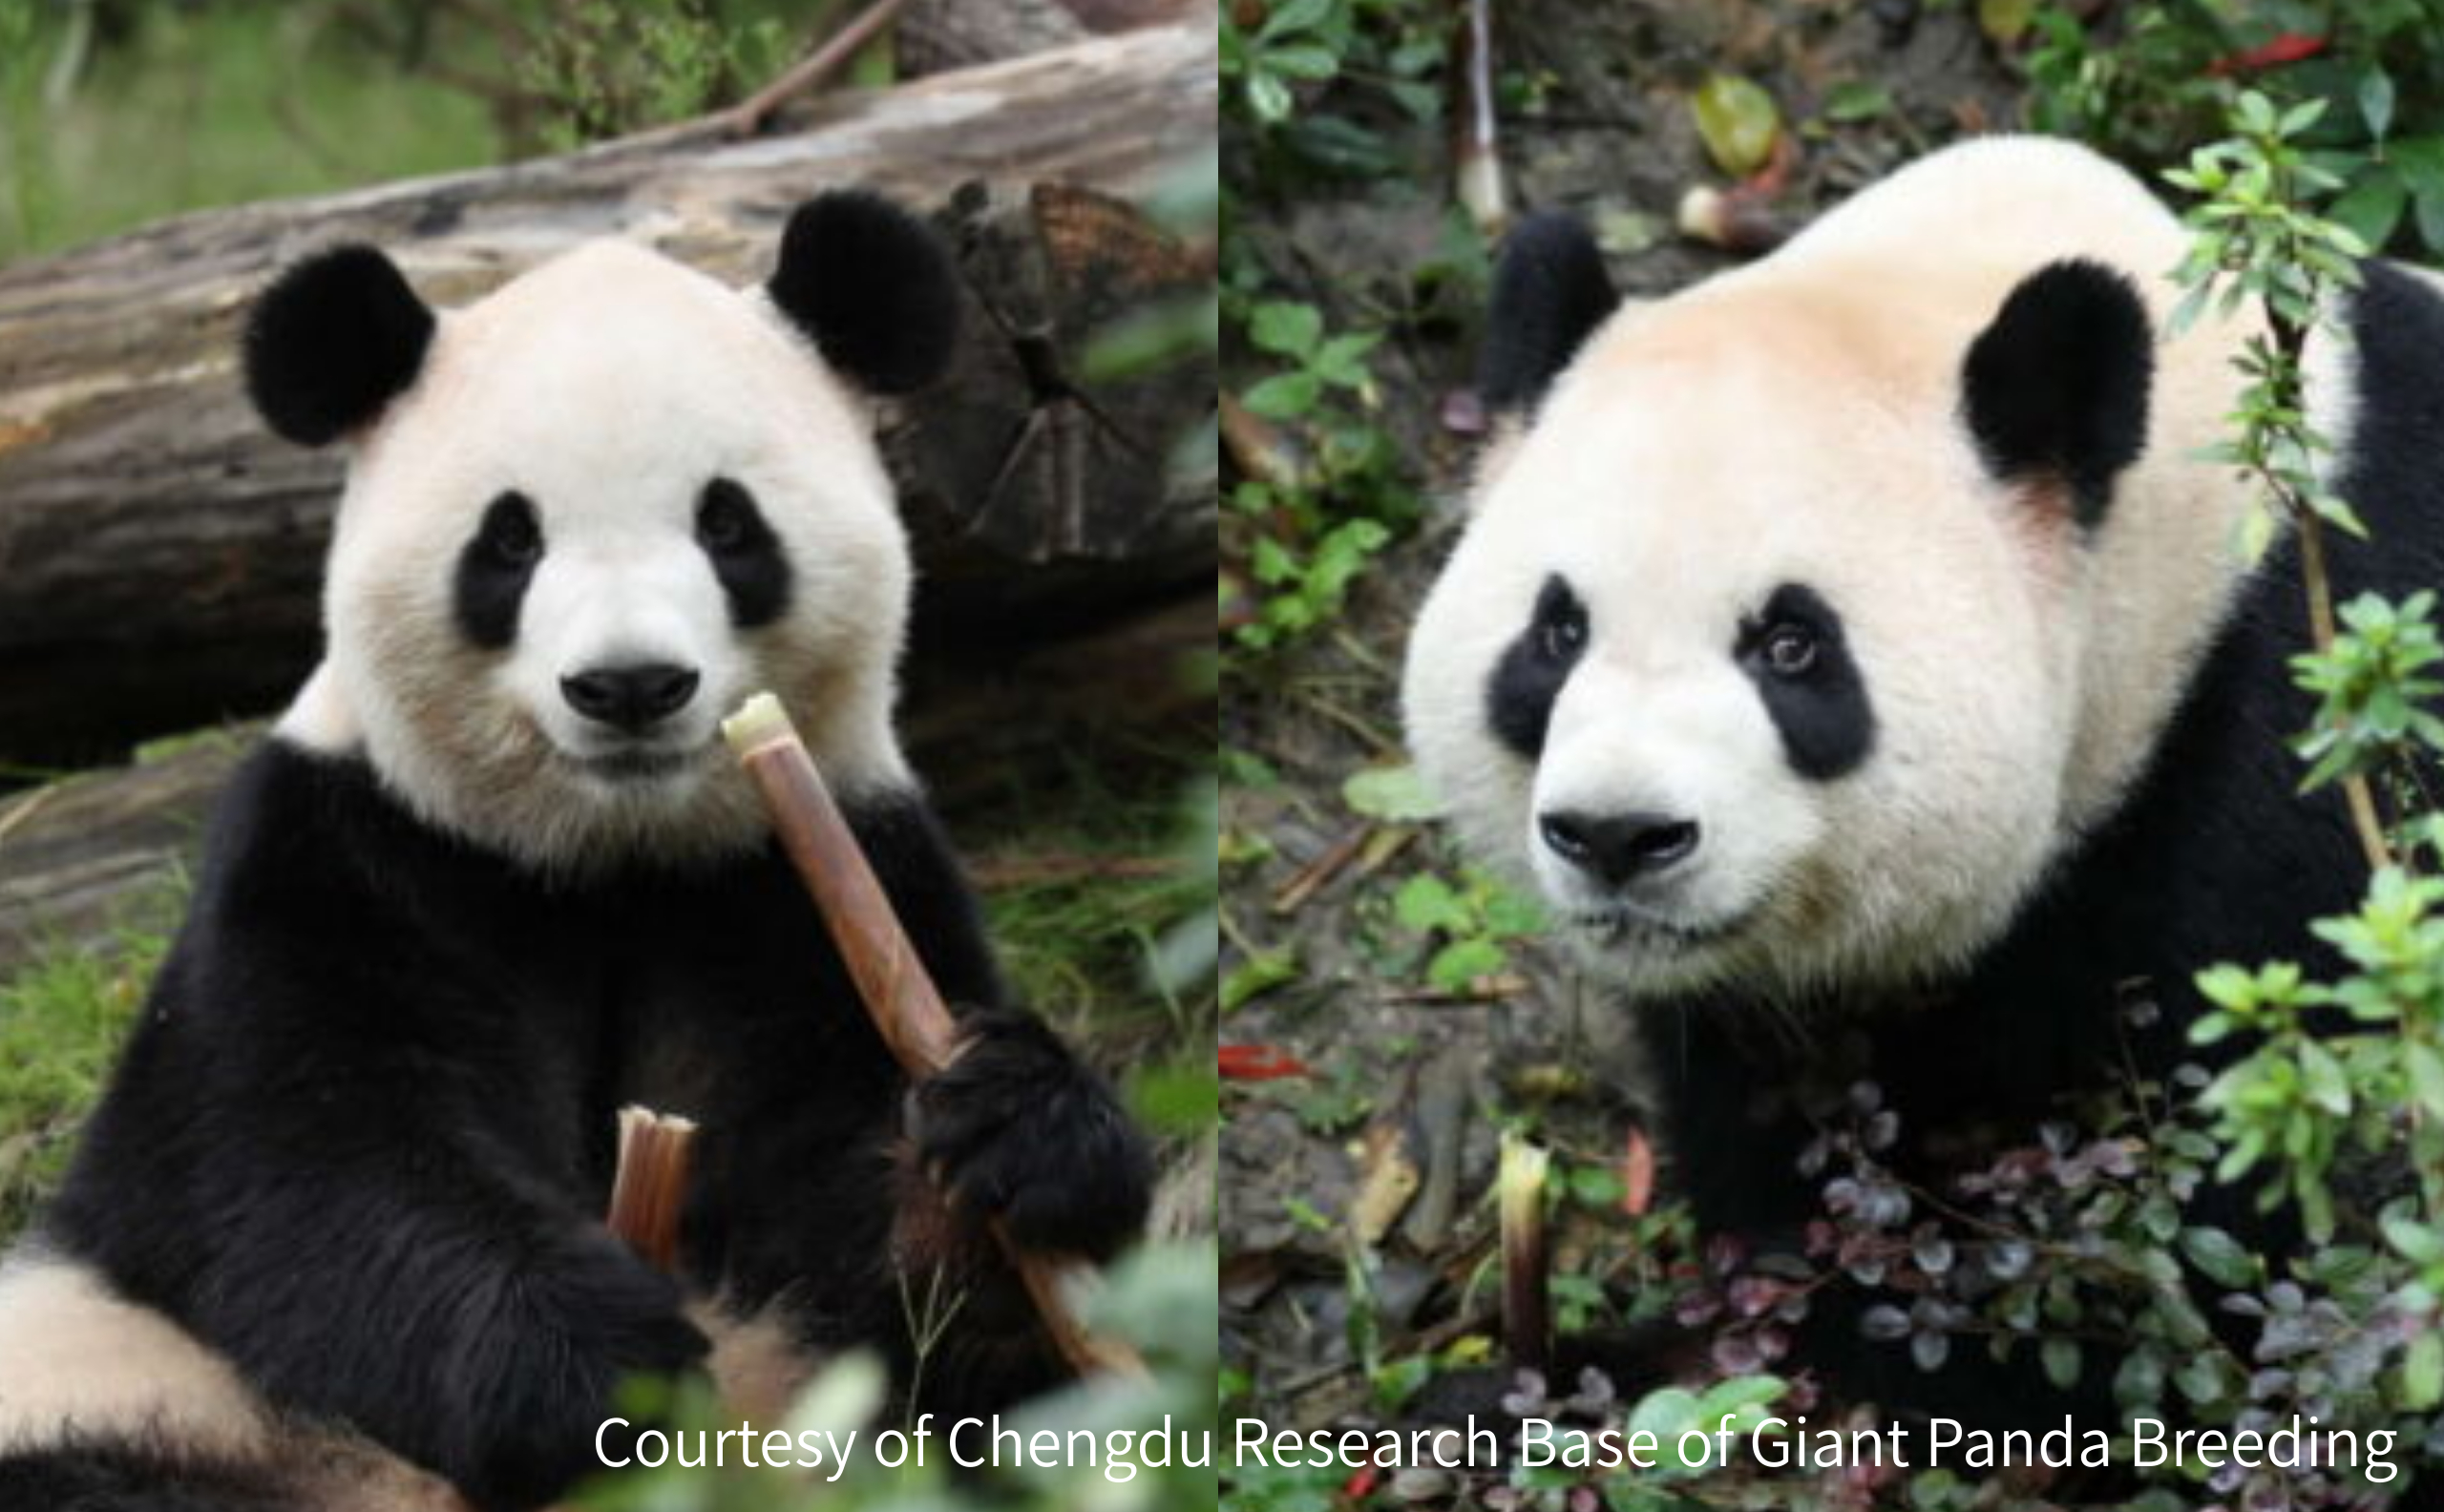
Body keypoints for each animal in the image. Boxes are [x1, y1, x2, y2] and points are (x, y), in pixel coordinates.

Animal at [0, 192, 1152, 1511]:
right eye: (509, 543)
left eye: (726, 522)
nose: (630, 686)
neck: (610, 858)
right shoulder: (342, 854)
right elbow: (297, 1167)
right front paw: (590, 1362)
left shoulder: (805, 883)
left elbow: (877, 1267)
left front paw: (1012, 1135)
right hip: (139, 1389)